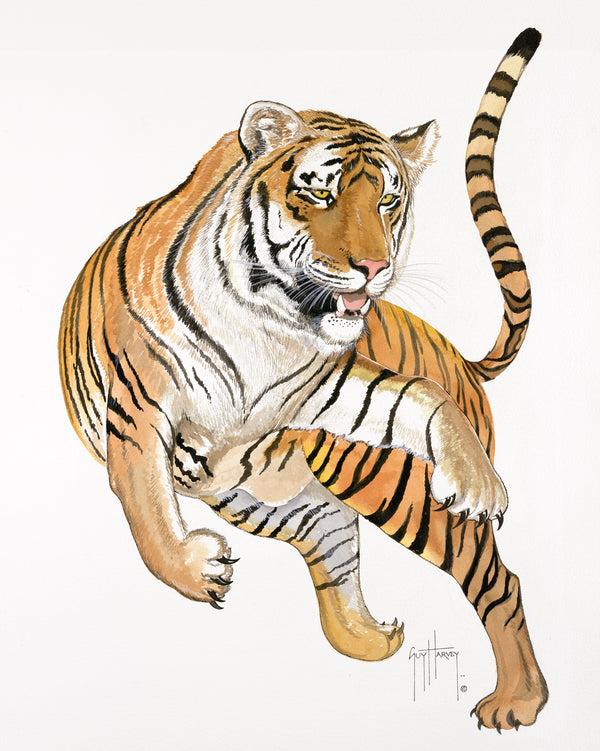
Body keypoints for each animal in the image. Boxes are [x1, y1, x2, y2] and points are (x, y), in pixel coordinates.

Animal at [59, 28, 547, 732]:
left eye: (389, 200)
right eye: (320, 192)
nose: (373, 267)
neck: (266, 324)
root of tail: (462, 358)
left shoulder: (325, 387)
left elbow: (415, 397)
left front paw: (478, 481)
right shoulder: (137, 406)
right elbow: (148, 509)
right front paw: (197, 568)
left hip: (399, 491)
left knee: (498, 583)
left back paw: (517, 701)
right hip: (293, 506)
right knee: (339, 562)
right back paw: (377, 637)